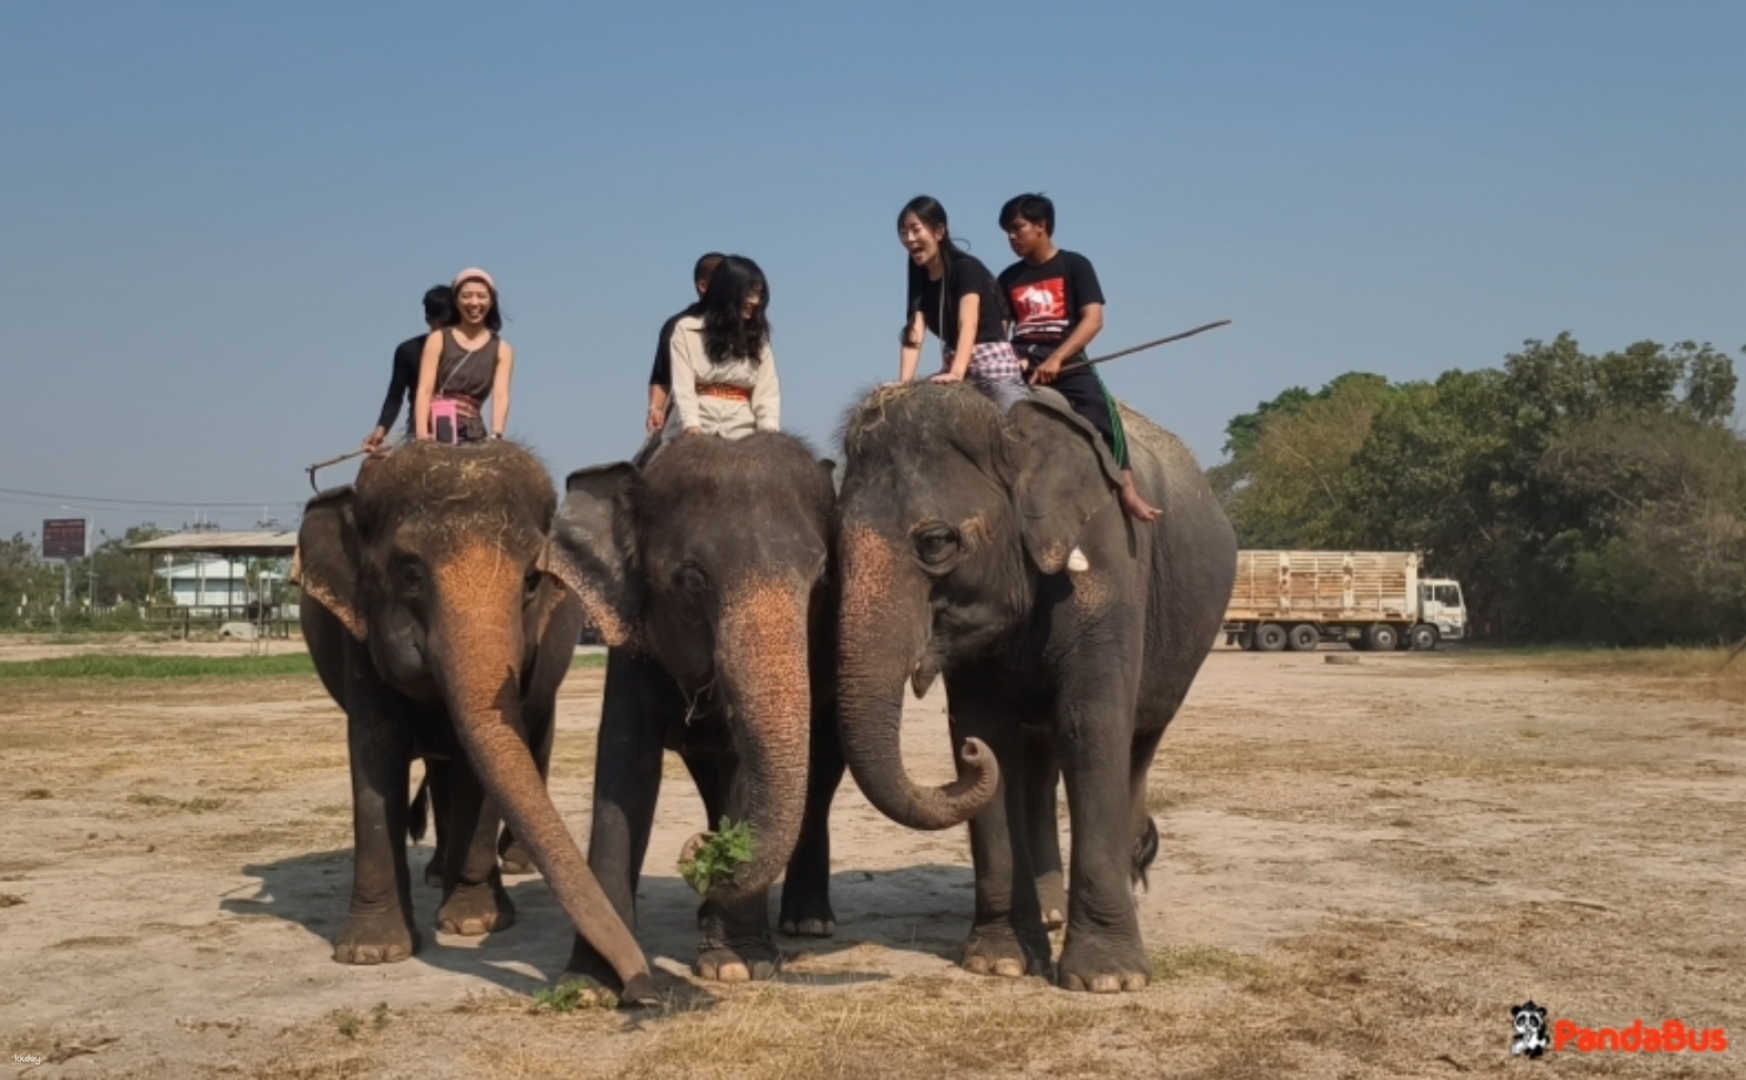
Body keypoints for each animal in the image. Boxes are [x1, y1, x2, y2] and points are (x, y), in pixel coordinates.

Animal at [294, 439, 656, 1003]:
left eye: (531, 581)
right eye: (410, 575)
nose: (642, 986)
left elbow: (479, 767)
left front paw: (473, 923)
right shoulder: (359, 638)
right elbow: (375, 753)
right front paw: (372, 953)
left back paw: (500, 867)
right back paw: (435, 873)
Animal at [541, 431, 843, 986]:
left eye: (820, 579)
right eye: (692, 579)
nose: (697, 848)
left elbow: (744, 771)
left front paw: (736, 966)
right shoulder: (630, 637)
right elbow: (625, 769)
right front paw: (592, 983)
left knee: (822, 771)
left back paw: (807, 922)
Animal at [833, 383, 1236, 993]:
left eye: (935, 542)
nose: (968, 758)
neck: (1012, 434)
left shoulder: (1111, 570)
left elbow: (1090, 726)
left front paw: (1109, 979)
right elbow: (989, 729)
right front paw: (999, 963)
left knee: (1134, 748)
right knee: (1041, 762)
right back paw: (1048, 913)